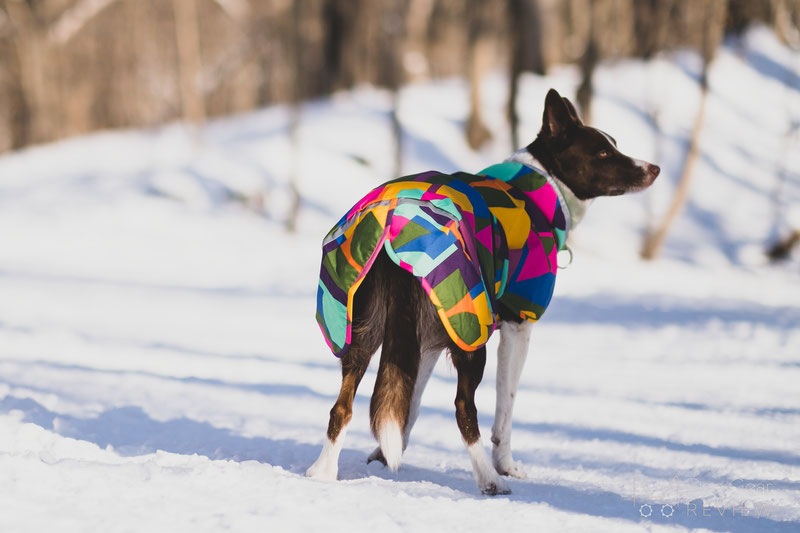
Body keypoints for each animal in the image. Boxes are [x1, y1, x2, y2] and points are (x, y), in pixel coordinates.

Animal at [304, 88, 660, 494]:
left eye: (614, 145)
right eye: (602, 153)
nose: (654, 168)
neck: (536, 188)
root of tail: (396, 221)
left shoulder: (425, 340)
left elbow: (406, 405)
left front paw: (386, 455)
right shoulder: (517, 327)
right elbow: (505, 409)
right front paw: (505, 464)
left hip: (365, 331)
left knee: (342, 407)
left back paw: (323, 472)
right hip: (471, 332)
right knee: (464, 408)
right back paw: (489, 480)